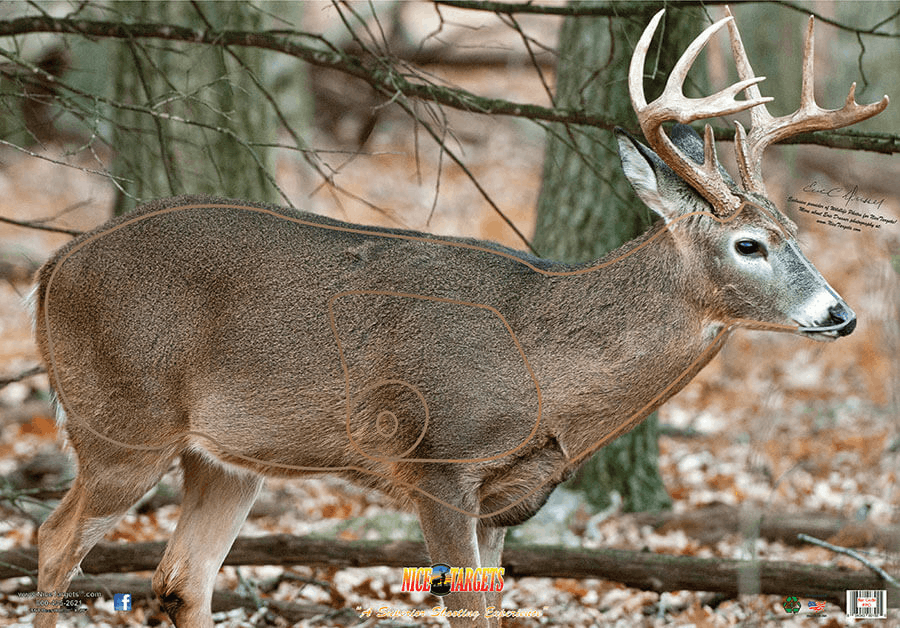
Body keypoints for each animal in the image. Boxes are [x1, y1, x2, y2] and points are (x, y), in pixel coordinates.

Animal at [32, 8, 886, 628]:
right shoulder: (438, 458)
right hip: (120, 420)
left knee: (181, 578)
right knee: (53, 540)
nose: (840, 313)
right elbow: (468, 608)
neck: (544, 368)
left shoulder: (512, 495)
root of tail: (50, 270)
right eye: (749, 244)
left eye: (795, 230)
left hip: (226, 456)